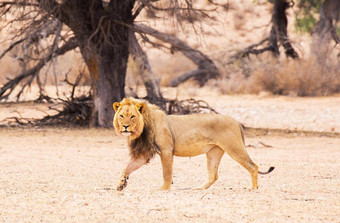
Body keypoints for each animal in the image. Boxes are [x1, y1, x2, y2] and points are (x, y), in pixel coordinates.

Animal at [113, 98, 274, 192]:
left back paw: (253, 188)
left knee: (253, 166)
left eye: (132, 116)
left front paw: (164, 188)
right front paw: (121, 183)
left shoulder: (166, 151)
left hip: (234, 147)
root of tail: (235, 121)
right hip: (214, 152)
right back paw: (198, 188)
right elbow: (127, 167)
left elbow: (166, 173)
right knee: (213, 176)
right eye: (121, 116)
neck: (144, 126)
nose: (125, 127)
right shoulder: (144, 154)